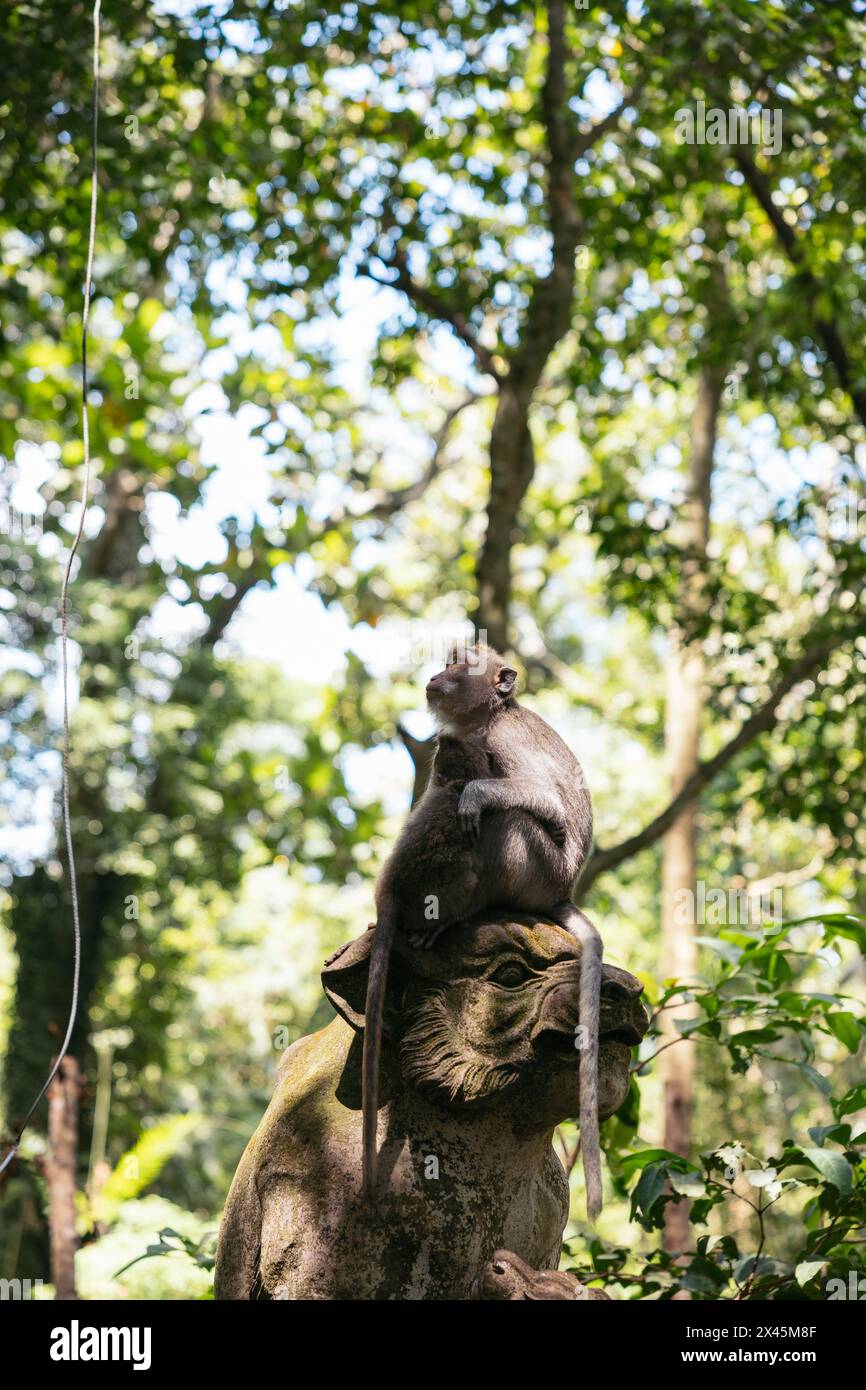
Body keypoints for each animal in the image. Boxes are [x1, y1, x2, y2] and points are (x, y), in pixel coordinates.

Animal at [362, 642, 604, 1218]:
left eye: (461, 663)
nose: (437, 672)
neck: (489, 718)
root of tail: (562, 892)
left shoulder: (500, 741)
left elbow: (542, 800)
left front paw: (473, 793)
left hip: (539, 870)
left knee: (506, 818)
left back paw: (458, 909)